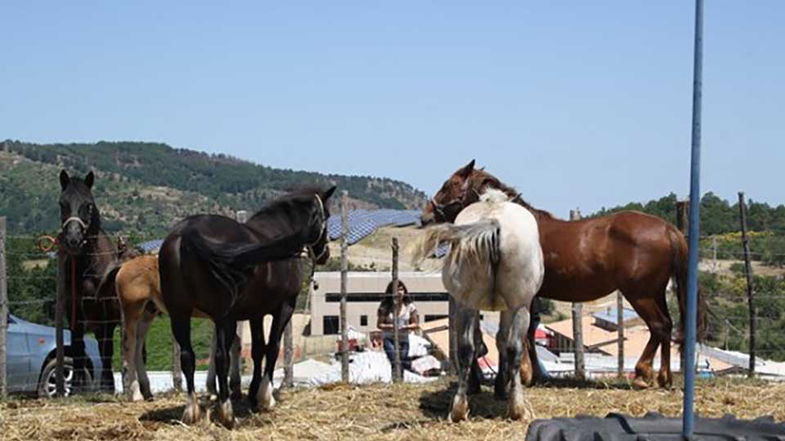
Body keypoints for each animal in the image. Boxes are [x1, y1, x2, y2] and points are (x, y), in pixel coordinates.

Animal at [58, 170, 126, 394]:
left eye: (88, 204)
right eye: (62, 203)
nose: (73, 239)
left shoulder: (106, 314)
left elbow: (106, 349)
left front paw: (107, 387)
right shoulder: (74, 313)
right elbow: (78, 347)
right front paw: (77, 388)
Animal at [159, 186, 334, 426]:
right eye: (327, 215)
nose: (326, 253)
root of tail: (187, 232)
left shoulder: (255, 312)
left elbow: (258, 349)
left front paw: (253, 393)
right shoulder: (284, 308)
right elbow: (272, 348)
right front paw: (265, 397)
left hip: (179, 314)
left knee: (187, 356)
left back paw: (191, 411)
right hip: (224, 318)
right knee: (221, 357)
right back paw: (226, 412)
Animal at [414, 188, 544, 420]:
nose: (425, 217)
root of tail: (494, 221)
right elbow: (500, 340)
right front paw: (500, 385)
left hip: (470, 303)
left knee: (469, 347)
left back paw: (462, 407)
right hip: (515, 305)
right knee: (509, 347)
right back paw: (513, 406)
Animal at [420, 160, 708, 386]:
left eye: (448, 184)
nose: (425, 215)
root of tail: (668, 229)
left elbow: (523, 331)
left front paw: (525, 373)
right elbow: (530, 330)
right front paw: (535, 373)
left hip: (640, 294)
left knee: (658, 326)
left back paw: (643, 373)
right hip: (656, 292)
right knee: (668, 325)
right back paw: (664, 377)